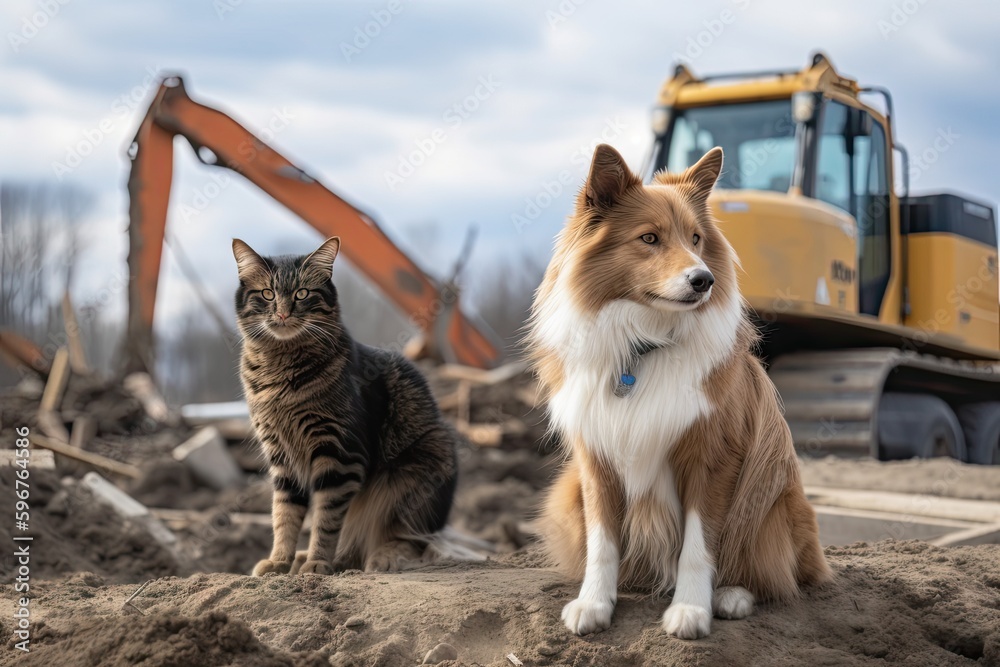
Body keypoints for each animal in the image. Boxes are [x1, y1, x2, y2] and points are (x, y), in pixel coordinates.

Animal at [232, 235, 458, 576]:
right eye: (267, 294)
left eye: (302, 293)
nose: (283, 314)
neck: (280, 366)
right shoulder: (282, 459)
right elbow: (284, 515)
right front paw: (280, 561)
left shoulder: (339, 456)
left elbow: (326, 520)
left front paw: (317, 563)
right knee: (353, 545)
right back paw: (307, 559)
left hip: (415, 475)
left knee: (406, 538)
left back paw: (382, 557)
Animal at [528, 144, 832, 640]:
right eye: (649, 238)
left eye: (695, 239)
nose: (704, 280)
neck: (644, 346)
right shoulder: (596, 460)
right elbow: (602, 543)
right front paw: (594, 603)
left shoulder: (713, 457)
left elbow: (699, 544)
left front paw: (690, 609)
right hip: (566, 495)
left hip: (772, 497)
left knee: (777, 572)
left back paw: (732, 595)